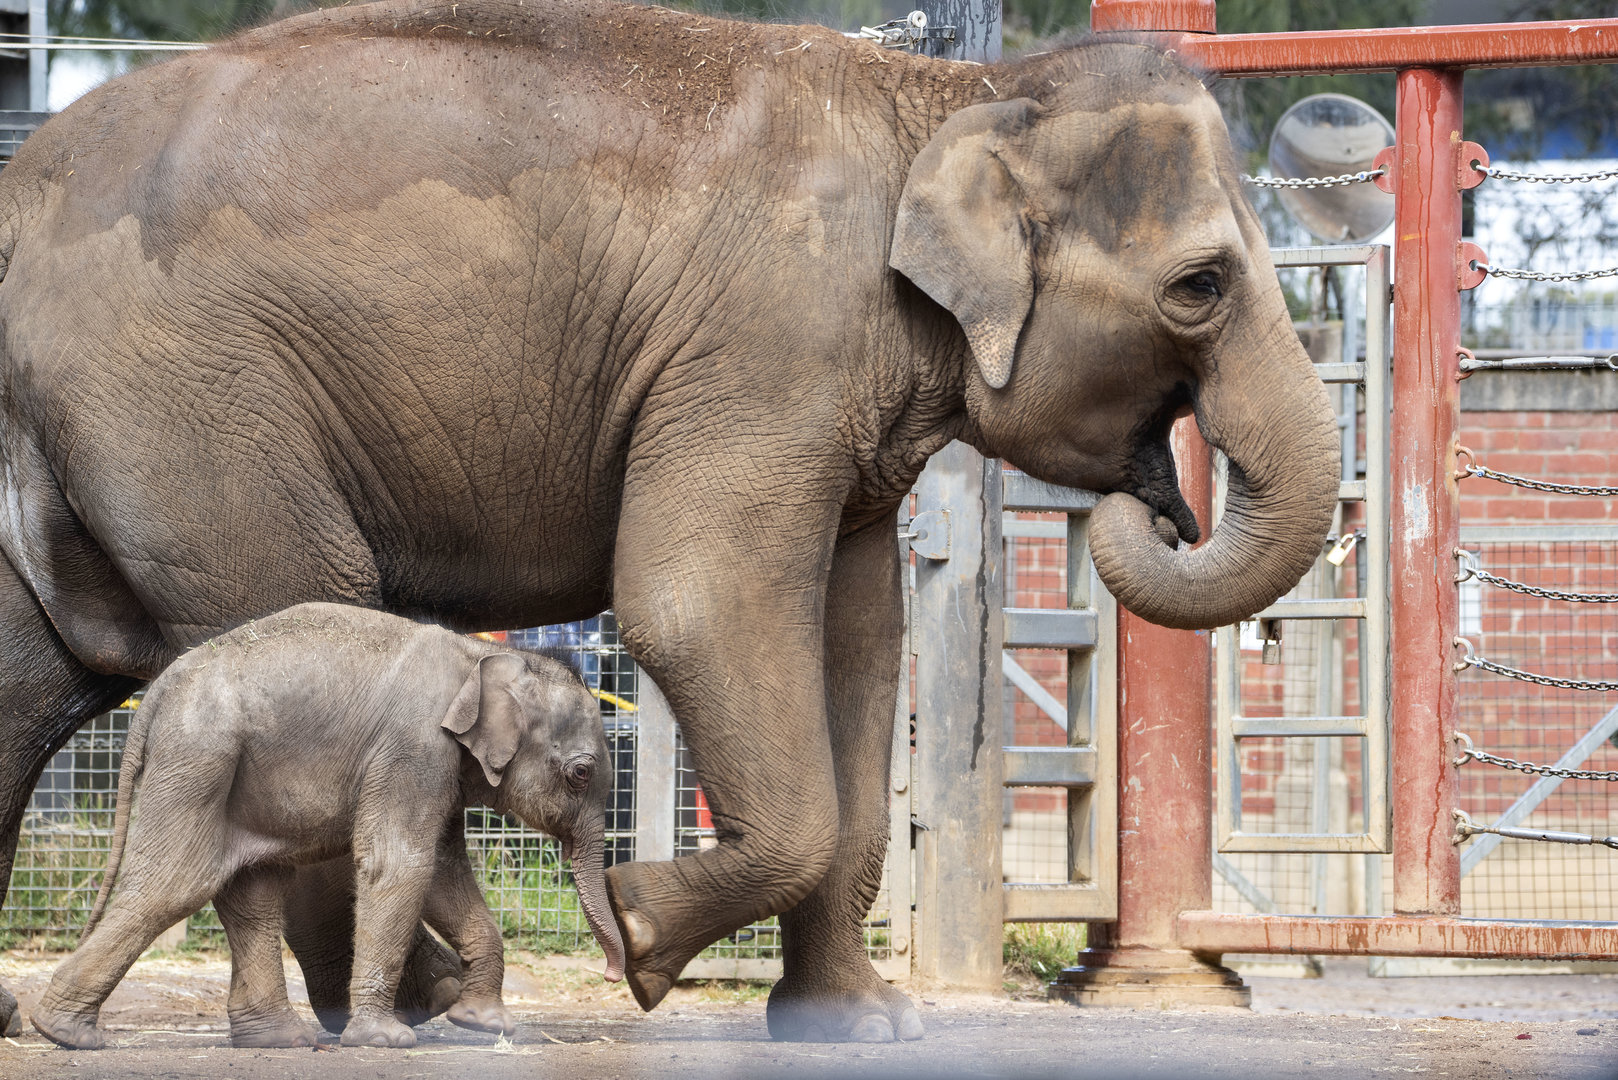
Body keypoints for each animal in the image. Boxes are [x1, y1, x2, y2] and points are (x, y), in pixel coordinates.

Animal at [29, 603, 624, 1050]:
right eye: (580, 774)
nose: (612, 977)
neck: (481, 658)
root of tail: (152, 695)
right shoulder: (413, 746)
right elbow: (399, 863)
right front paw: (386, 1041)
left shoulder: (441, 766)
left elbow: (441, 871)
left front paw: (486, 1024)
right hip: (197, 756)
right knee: (173, 885)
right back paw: (63, 1033)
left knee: (251, 891)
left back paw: (278, 1040)